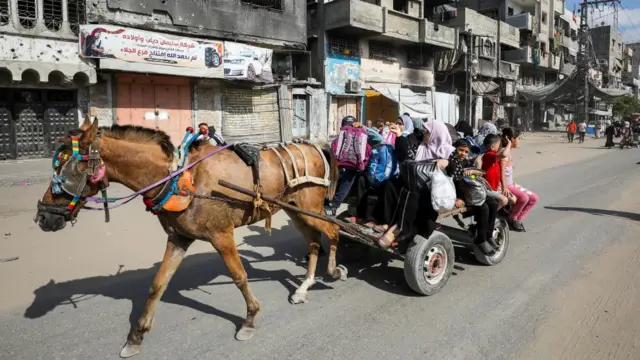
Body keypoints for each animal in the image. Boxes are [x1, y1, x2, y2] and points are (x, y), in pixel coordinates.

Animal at [33, 118, 344, 358]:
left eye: (66, 170)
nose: (43, 218)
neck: (179, 177)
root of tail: (315, 145)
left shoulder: (221, 235)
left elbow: (239, 276)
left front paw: (249, 320)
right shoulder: (179, 238)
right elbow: (158, 284)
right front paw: (136, 336)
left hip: (310, 207)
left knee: (332, 231)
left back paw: (333, 270)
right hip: (295, 210)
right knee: (314, 242)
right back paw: (303, 287)